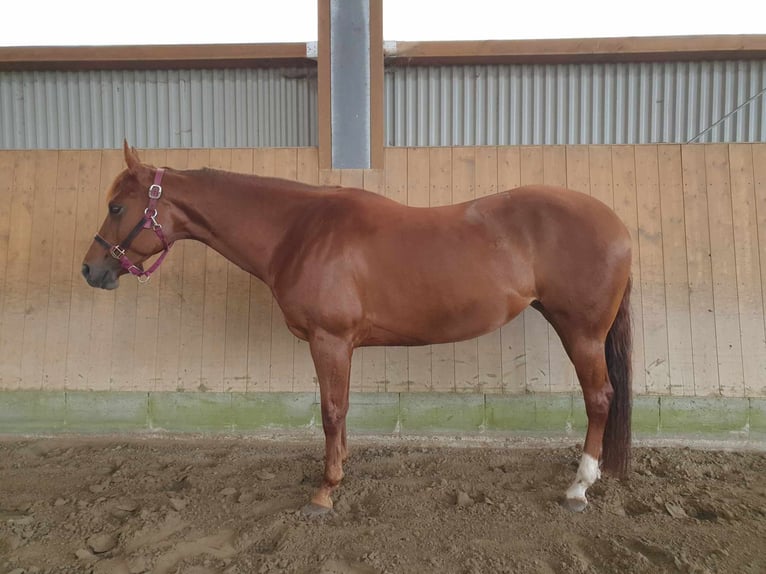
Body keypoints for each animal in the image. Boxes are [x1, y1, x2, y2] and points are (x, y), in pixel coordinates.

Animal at [82, 143, 636, 512]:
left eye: (116, 206)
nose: (91, 270)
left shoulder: (329, 340)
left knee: (599, 398)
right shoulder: (341, 345)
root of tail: (616, 224)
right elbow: (342, 410)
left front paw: (324, 492)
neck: (299, 231)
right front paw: (341, 469)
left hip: (581, 332)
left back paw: (578, 487)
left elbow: (330, 411)